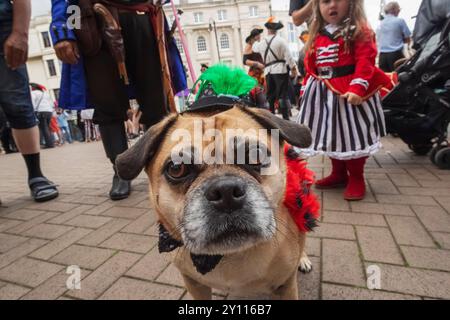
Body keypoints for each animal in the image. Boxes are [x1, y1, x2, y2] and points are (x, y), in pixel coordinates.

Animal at [116, 105, 312, 300]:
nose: (226, 191)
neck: (228, 256)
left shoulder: (285, 286)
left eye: (256, 155)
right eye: (177, 168)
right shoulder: (194, 284)